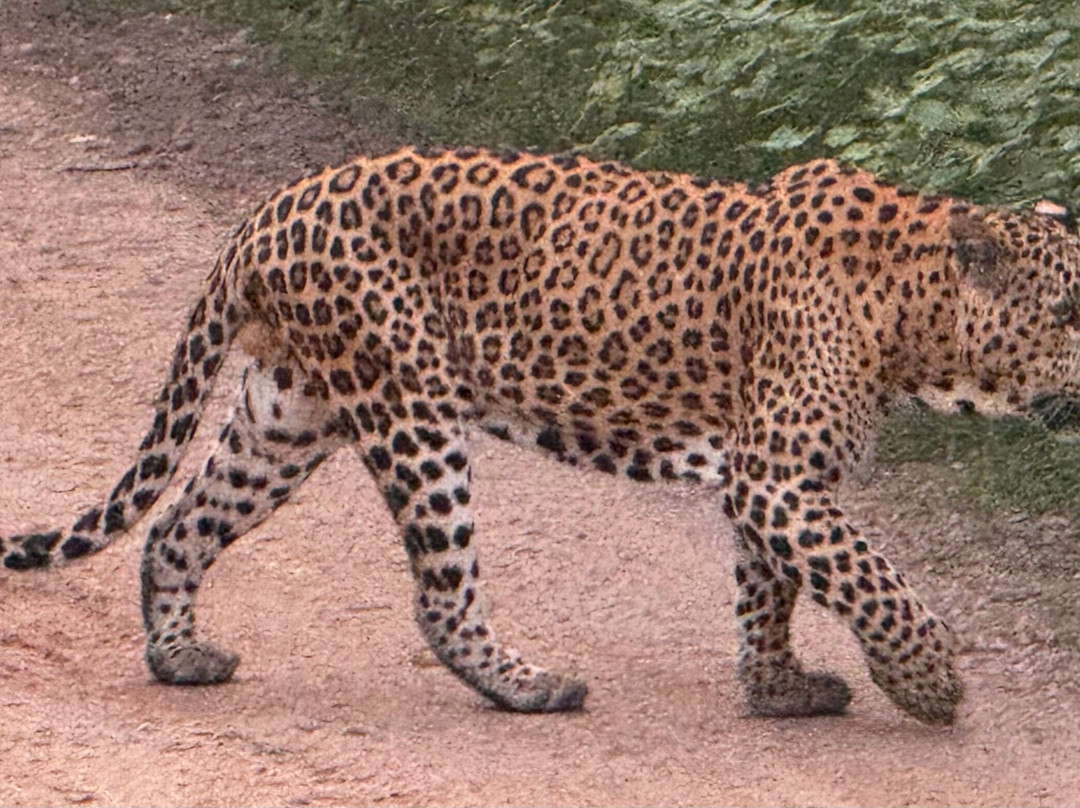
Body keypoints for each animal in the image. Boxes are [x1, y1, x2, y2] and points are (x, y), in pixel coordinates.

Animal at [5, 146, 1080, 727]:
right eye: (1069, 310)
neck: (916, 322)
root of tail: (268, 211)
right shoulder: (776, 478)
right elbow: (873, 578)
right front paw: (930, 685)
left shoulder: (774, 478)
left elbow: (771, 588)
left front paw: (777, 688)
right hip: (409, 402)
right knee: (441, 598)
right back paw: (530, 687)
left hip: (285, 417)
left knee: (174, 528)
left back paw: (180, 657)